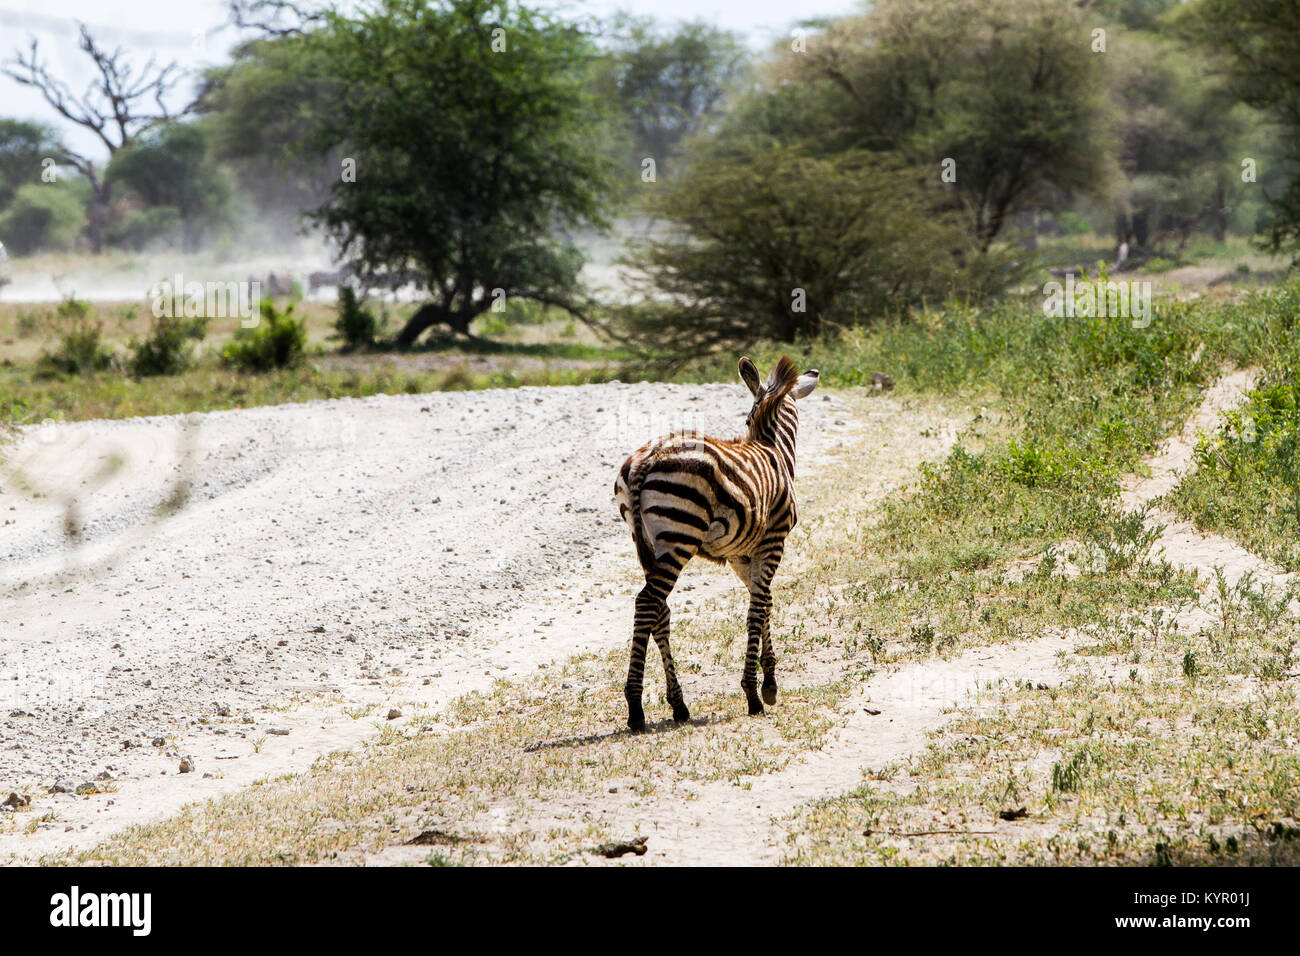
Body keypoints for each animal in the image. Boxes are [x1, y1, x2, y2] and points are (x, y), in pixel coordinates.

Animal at [614, 356, 820, 732]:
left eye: (746, 418)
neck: (772, 446)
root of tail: (646, 460)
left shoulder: (742, 554)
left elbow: (765, 602)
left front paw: (769, 683)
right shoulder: (773, 541)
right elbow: (757, 610)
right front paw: (754, 694)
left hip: (647, 541)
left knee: (659, 611)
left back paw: (678, 705)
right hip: (680, 537)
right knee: (647, 603)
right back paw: (635, 708)